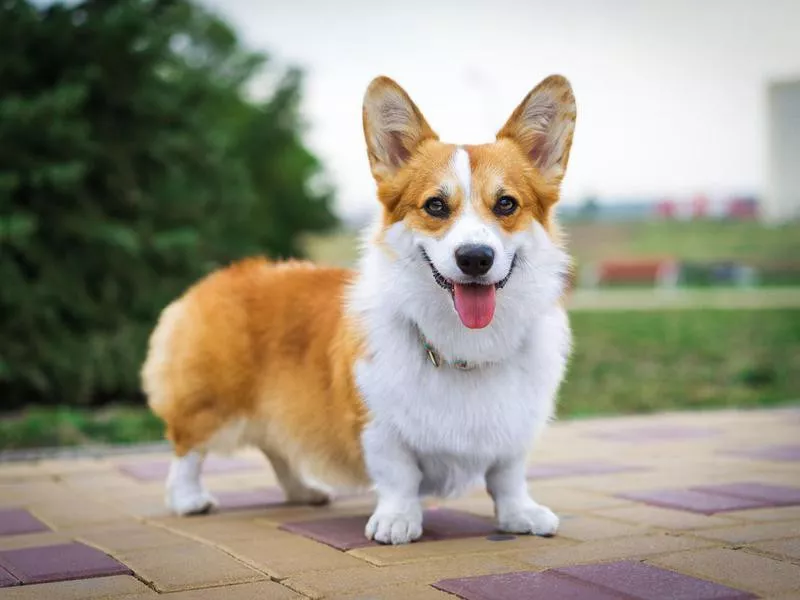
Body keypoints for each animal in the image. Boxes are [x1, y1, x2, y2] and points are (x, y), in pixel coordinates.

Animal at [142, 74, 576, 544]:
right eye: (435, 205)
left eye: (506, 204)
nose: (475, 258)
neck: (464, 346)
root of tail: (218, 277)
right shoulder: (379, 423)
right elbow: (399, 475)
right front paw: (397, 520)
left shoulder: (514, 427)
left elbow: (507, 476)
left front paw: (521, 515)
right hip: (212, 403)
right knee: (187, 447)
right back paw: (189, 499)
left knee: (278, 447)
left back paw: (305, 491)